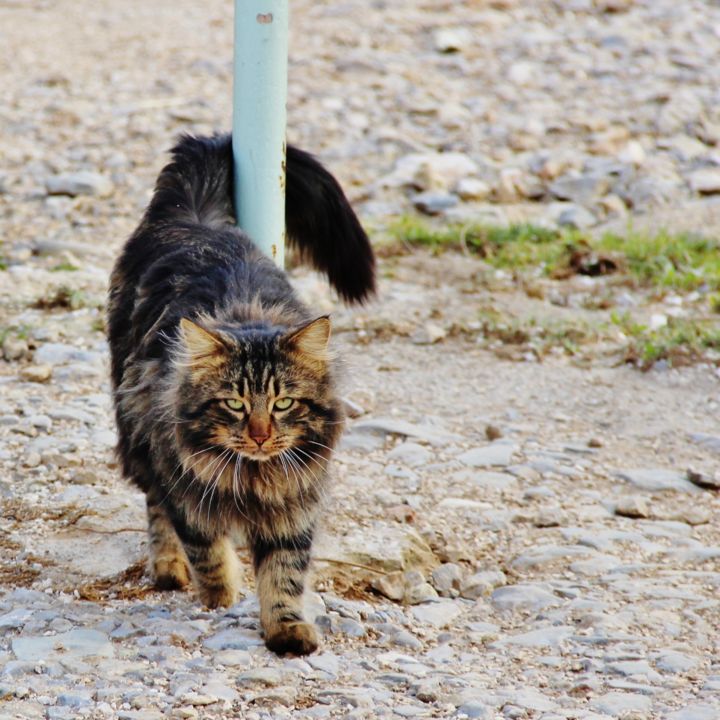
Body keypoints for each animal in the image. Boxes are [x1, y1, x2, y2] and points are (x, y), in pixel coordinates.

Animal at [109, 132, 376, 656]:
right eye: (234, 404)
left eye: (283, 403)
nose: (258, 435)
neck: (254, 477)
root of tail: (194, 217)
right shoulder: (182, 481)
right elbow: (205, 548)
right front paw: (221, 595)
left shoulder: (295, 505)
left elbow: (284, 575)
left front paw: (287, 629)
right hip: (136, 431)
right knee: (154, 505)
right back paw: (169, 567)